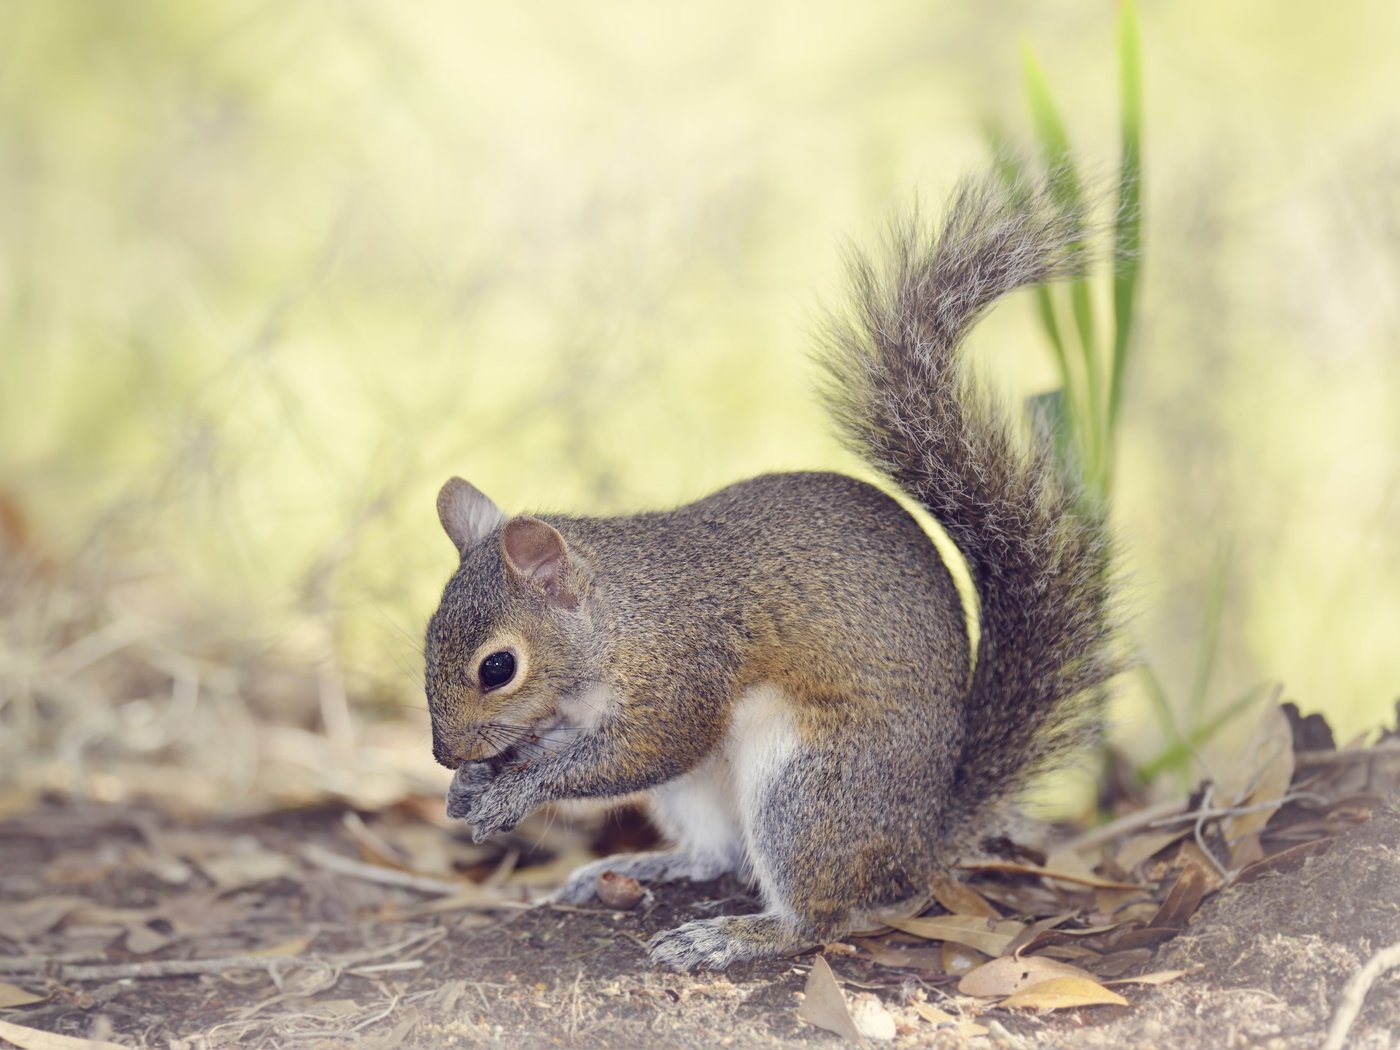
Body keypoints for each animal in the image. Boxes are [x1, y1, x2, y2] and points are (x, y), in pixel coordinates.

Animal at [420, 170, 1120, 968]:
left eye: (497, 668)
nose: (443, 753)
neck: (617, 620)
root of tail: (918, 845)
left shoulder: (682, 673)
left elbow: (640, 751)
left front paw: (512, 791)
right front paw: (474, 783)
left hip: (809, 788)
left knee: (814, 918)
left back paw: (731, 935)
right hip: (706, 794)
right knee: (717, 855)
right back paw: (635, 867)